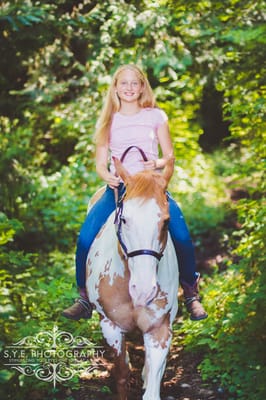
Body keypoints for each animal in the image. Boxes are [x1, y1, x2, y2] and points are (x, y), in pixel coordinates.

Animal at [86, 157, 179, 400]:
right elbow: (121, 374)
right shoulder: (110, 326)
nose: (143, 291)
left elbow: (153, 386)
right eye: (125, 219)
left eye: (166, 221)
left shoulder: (158, 328)